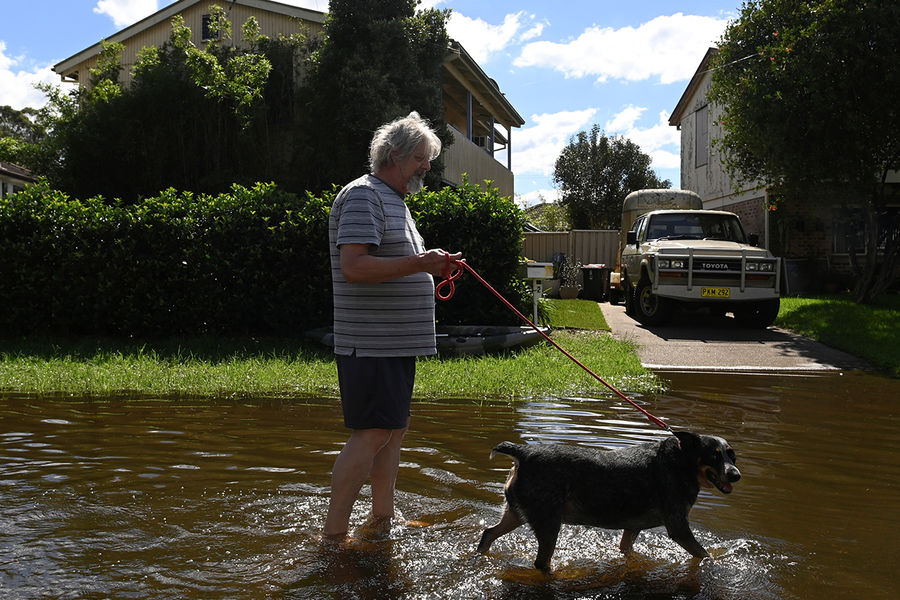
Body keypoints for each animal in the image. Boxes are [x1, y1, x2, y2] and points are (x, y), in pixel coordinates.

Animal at [476, 431, 740, 571]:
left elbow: (627, 549)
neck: (682, 463)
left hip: (516, 512)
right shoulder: (678, 527)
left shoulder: (632, 527)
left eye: (731, 455)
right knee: (541, 563)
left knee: (488, 533)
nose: (735, 474)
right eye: (714, 456)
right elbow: (705, 554)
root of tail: (523, 452)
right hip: (548, 522)